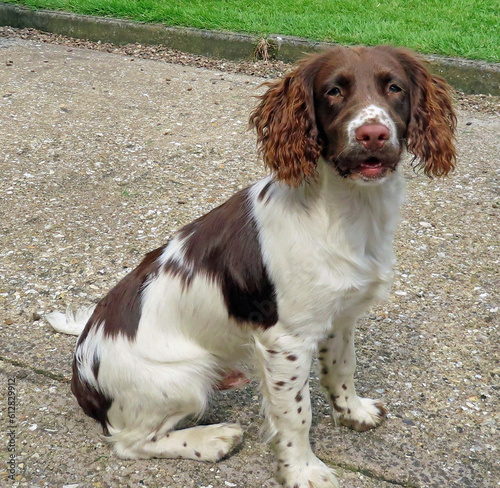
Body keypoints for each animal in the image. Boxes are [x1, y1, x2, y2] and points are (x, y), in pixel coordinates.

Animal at [47, 46, 458, 488]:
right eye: (333, 91)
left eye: (394, 87)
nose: (373, 134)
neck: (345, 212)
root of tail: (81, 369)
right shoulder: (287, 341)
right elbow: (296, 414)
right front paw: (302, 471)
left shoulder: (340, 315)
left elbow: (342, 367)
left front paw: (353, 412)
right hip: (184, 379)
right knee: (129, 442)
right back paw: (211, 439)